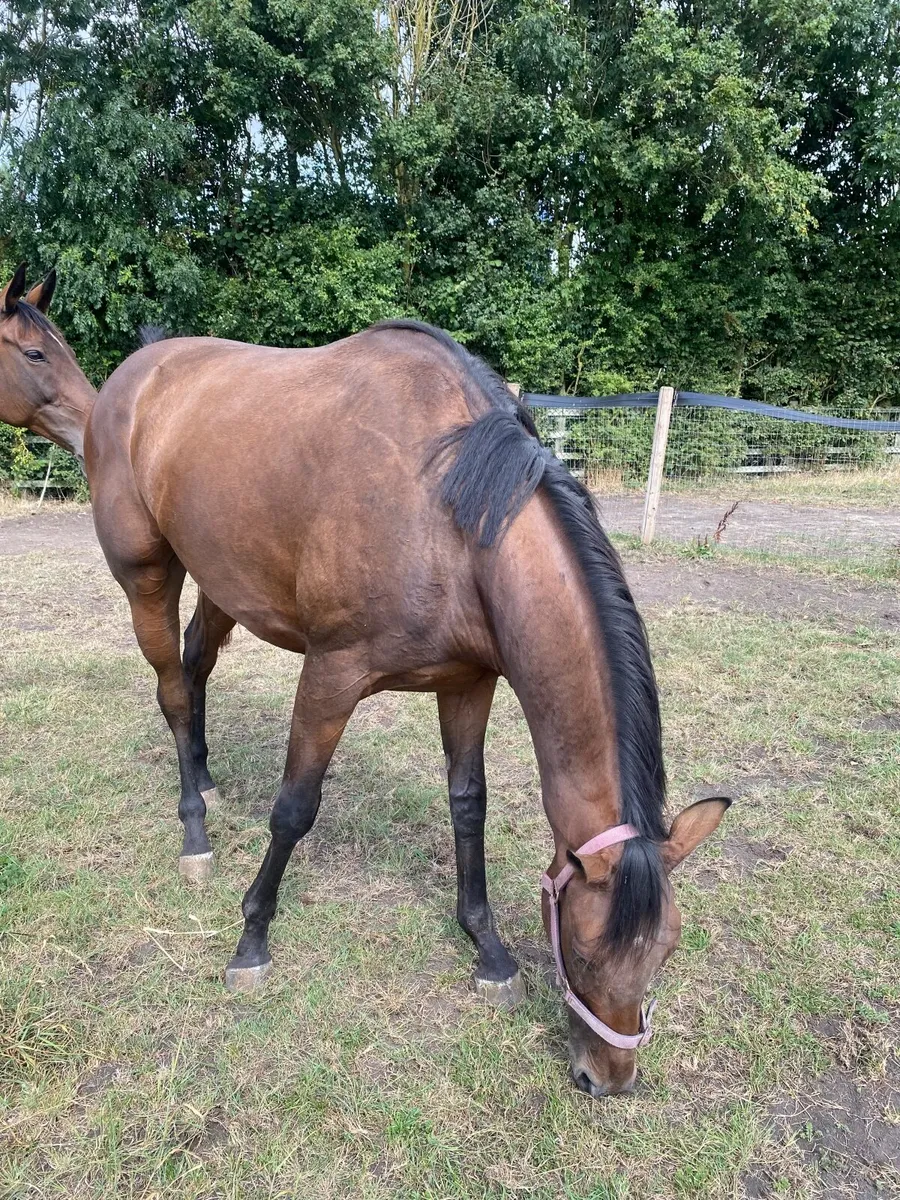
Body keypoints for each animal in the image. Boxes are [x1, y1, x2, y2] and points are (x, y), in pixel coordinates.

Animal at [0, 264, 731, 1098]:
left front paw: (488, 951)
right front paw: (251, 938)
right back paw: (194, 830)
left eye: (666, 951)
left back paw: (208, 780)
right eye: (581, 951)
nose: (607, 1077)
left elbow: (468, 806)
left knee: (194, 663)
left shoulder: (469, 682)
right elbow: (295, 807)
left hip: (222, 580)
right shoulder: (332, 672)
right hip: (146, 574)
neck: (446, 511)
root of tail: (132, 376)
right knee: (172, 687)